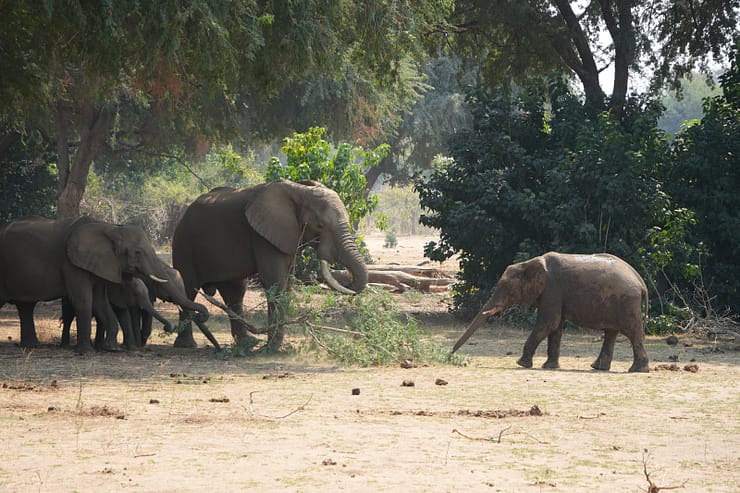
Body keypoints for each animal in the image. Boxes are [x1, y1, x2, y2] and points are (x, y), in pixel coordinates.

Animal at [0, 215, 211, 353]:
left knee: (25, 306)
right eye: (137, 252)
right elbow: (84, 300)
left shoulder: (103, 265)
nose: (168, 328)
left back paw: (32, 346)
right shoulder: (72, 263)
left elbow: (100, 302)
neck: (109, 228)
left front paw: (112, 349)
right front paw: (87, 351)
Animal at [171, 179, 369, 350]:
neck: (299, 191)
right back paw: (186, 345)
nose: (348, 281)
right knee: (187, 288)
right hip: (183, 243)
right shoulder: (262, 236)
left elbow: (286, 283)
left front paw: (272, 346)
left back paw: (248, 343)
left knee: (235, 292)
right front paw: (273, 349)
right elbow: (275, 281)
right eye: (319, 225)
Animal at [452, 252, 650, 373]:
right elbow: (555, 327)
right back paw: (598, 367)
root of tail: (641, 282)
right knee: (611, 333)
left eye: (506, 288)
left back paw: (636, 370)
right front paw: (549, 367)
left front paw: (521, 364)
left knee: (632, 332)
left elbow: (548, 323)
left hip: (627, 303)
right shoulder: (553, 294)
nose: (451, 353)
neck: (531, 263)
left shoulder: (552, 290)